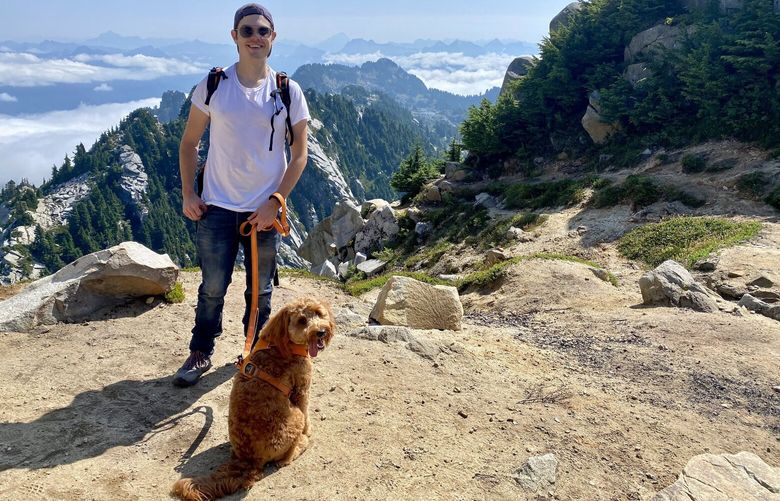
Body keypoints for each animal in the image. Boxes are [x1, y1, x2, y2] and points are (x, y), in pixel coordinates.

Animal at [172, 298, 334, 498]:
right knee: (285, 459)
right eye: (302, 321)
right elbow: (306, 413)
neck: (284, 344)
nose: (320, 332)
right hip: (295, 418)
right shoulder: (302, 389)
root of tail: (248, 460)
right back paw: (301, 444)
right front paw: (308, 431)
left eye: (319, 313)